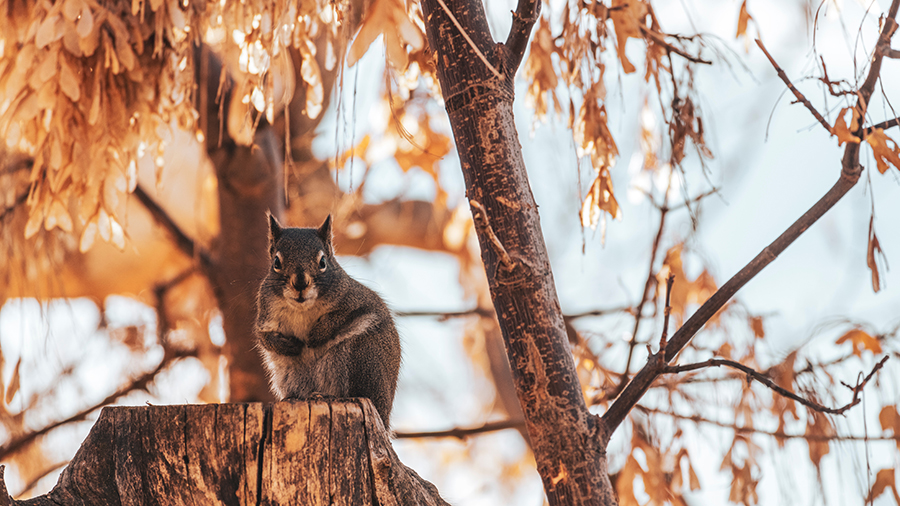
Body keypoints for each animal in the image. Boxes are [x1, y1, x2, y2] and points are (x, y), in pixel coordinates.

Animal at [256, 211, 404, 428]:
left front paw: (315, 336)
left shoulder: (357, 301)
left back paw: (327, 395)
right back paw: (295, 397)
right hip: (290, 373)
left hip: (359, 355)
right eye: (276, 262)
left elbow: (337, 317)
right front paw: (290, 345)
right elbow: (264, 338)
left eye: (323, 262)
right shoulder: (265, 317)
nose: (300, 283)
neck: (302, 308)